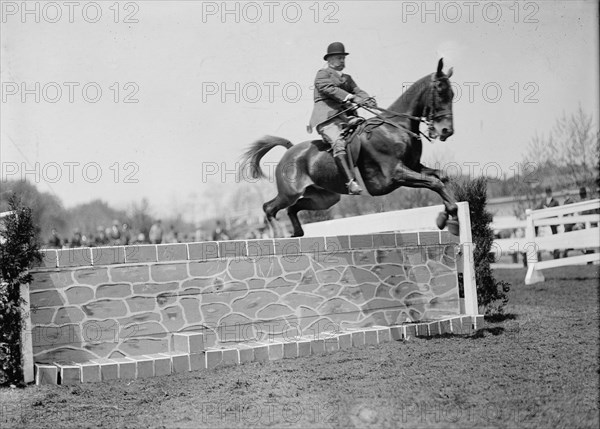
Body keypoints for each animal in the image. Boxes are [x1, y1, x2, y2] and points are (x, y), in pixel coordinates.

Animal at [241, 57, 458, 237]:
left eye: (453, 94)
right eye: (440, 92)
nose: (446, 130)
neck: (396, 127)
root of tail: (290, 151)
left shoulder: (413, 167)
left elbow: (441, 177)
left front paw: (448, 215)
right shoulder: (395, 174)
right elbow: (434, 183)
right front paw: (448, 218)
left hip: (325, 198)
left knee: (292, 209)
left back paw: (297, 233)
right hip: (290, 193)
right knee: (269, 208)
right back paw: (279, 235)